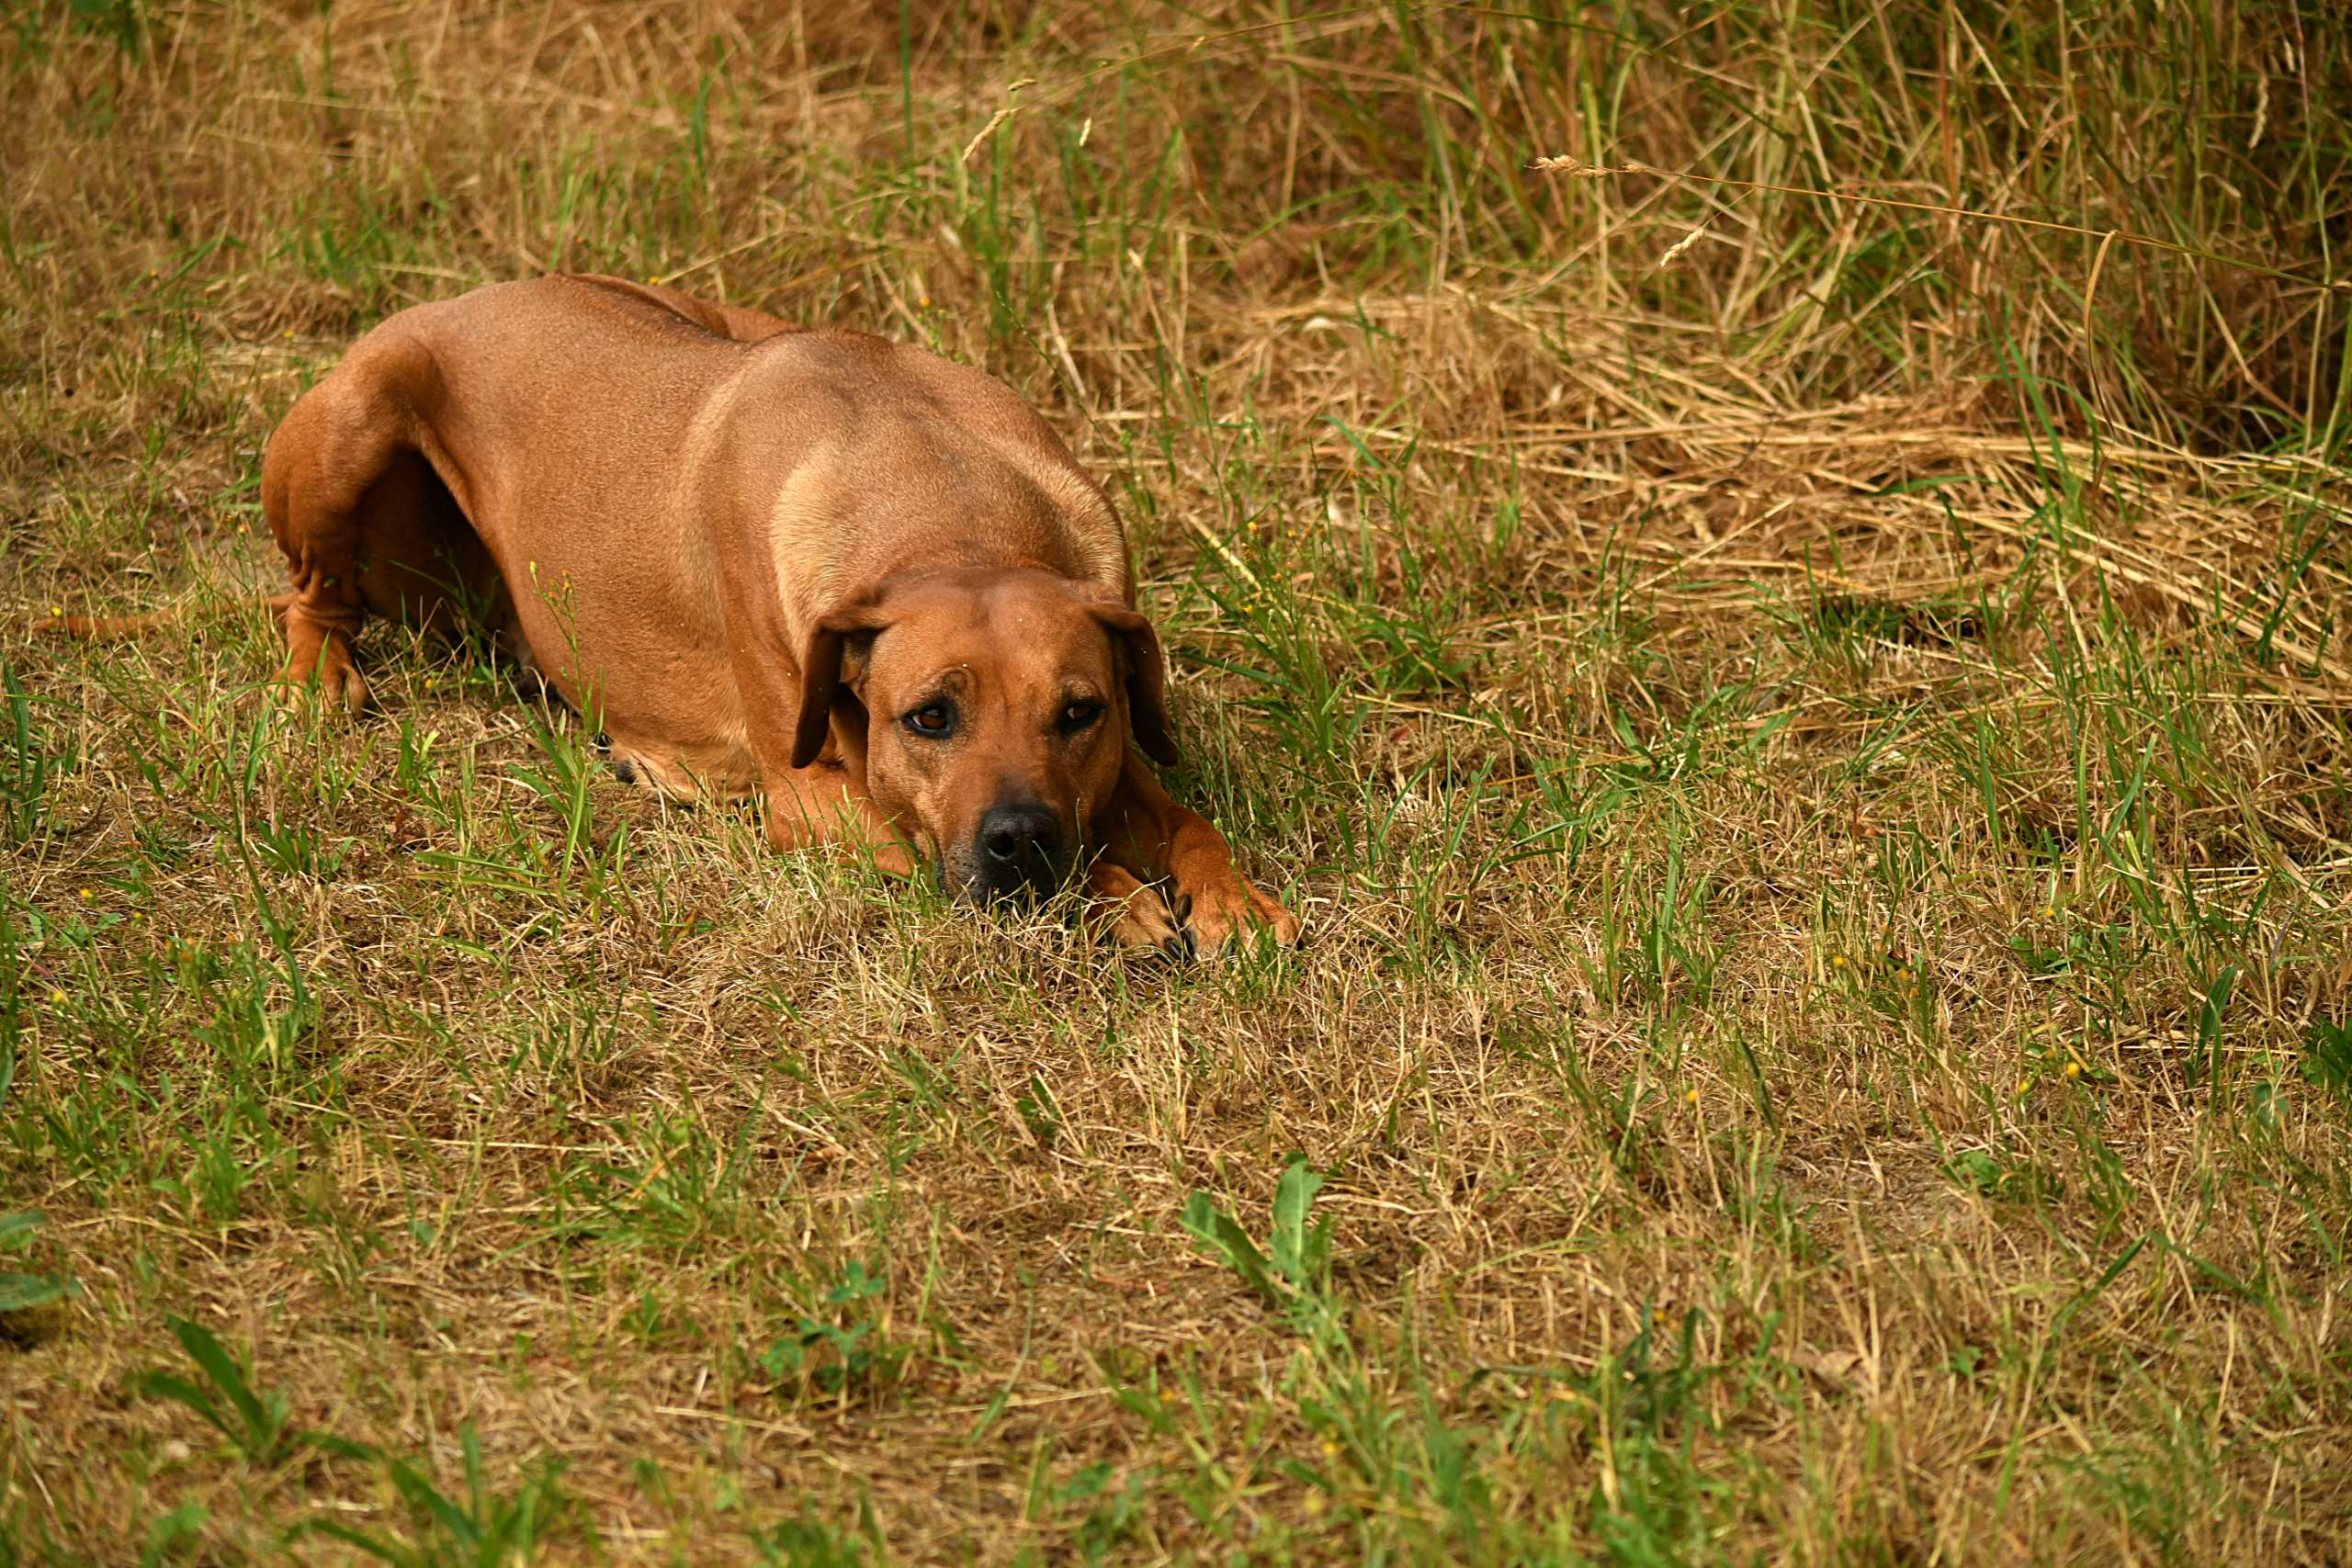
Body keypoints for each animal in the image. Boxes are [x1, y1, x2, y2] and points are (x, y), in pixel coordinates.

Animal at [259, 273, 1299, 956]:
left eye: (1080, 712)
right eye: (928, 717)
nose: (1023, 840)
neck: (947, 511)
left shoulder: (1112, 753)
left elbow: (1186, 820)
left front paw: (1234, 901)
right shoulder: (810, 798)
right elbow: (919, 830)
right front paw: (1112, 897)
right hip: (359, 412)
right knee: (307, 594)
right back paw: (319, 676)